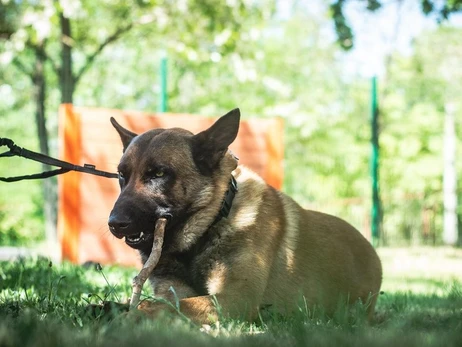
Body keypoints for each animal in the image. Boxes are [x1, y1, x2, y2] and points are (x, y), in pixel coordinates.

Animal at [108, 109, 382, 324]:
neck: (212, 223)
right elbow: (153, 303)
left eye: (158, 174)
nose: (114, 224)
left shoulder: (235, 298)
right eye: (121, 175)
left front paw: (129, 315)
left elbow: (159, 306)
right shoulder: (176, 291)